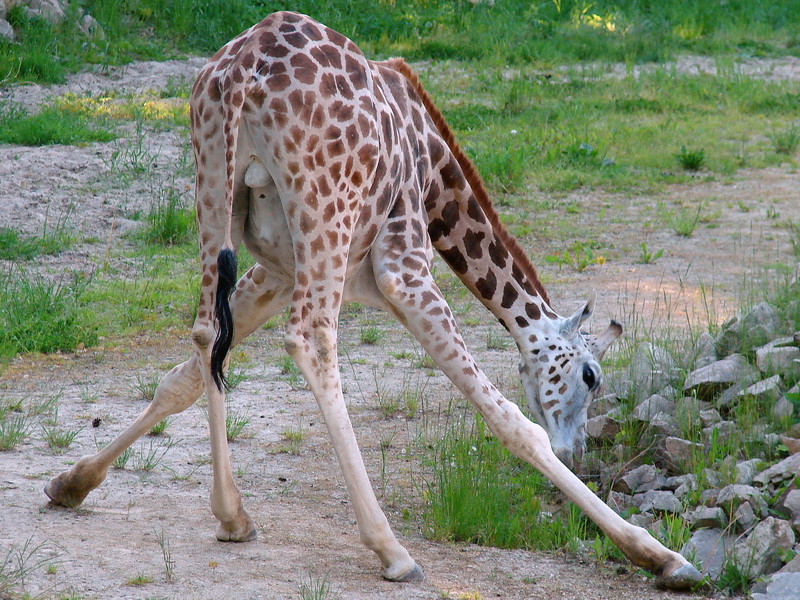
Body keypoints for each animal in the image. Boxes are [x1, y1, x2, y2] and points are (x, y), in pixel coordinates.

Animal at [45, 11, 702, 589]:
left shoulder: (274, 269)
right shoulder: (403, 267)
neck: (436, 178)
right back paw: (392, 550)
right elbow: (508, 420)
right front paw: (662, 557)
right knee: (310, 338)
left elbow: (181, 377)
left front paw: (72, 483)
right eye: (590, 375)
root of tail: (240, 74)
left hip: (214, 191)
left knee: (208, 332)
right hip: (324, 222)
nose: (579, 450)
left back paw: (233, 515)